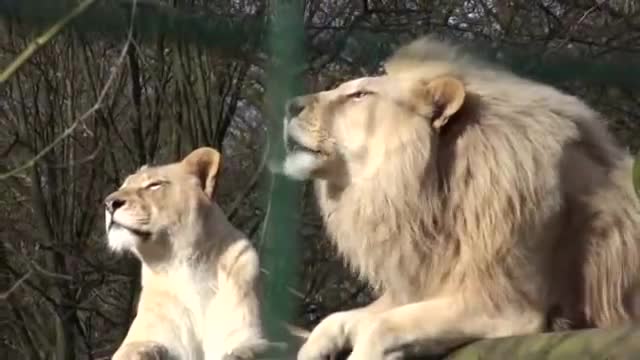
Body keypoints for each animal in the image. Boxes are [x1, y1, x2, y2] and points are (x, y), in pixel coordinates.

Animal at [104, 147, 268, 360]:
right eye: (122, 186)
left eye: (154, 185)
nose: (109, 203)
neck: (187, 265)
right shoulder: (150, 334)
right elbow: (132, 349)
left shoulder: (248, 335)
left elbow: (245, 350)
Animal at [282, 35, 640, 358]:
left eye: (359, 94)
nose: (290, 106)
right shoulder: (422, 283)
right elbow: (336, 320)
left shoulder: (506, 305)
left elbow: (381, 327)